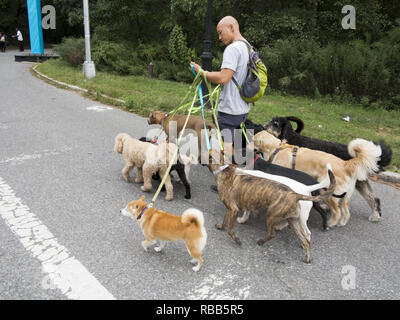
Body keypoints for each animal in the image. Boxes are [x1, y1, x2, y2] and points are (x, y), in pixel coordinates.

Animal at [250, 131, 382, 229]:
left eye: (253, 139)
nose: (247, 146)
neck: (277, 149)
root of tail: (346, 164)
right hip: (345, 196)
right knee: (345, 211)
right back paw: (341, 223)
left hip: (329, 193)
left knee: (337, 211)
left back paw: (330, 224)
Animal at [264, 116, 392, 221]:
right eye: (271, 121)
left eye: (275, 124)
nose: (264, 126)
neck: (291, 137)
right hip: (359, 181)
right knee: (372, 197)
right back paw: (375, 215)